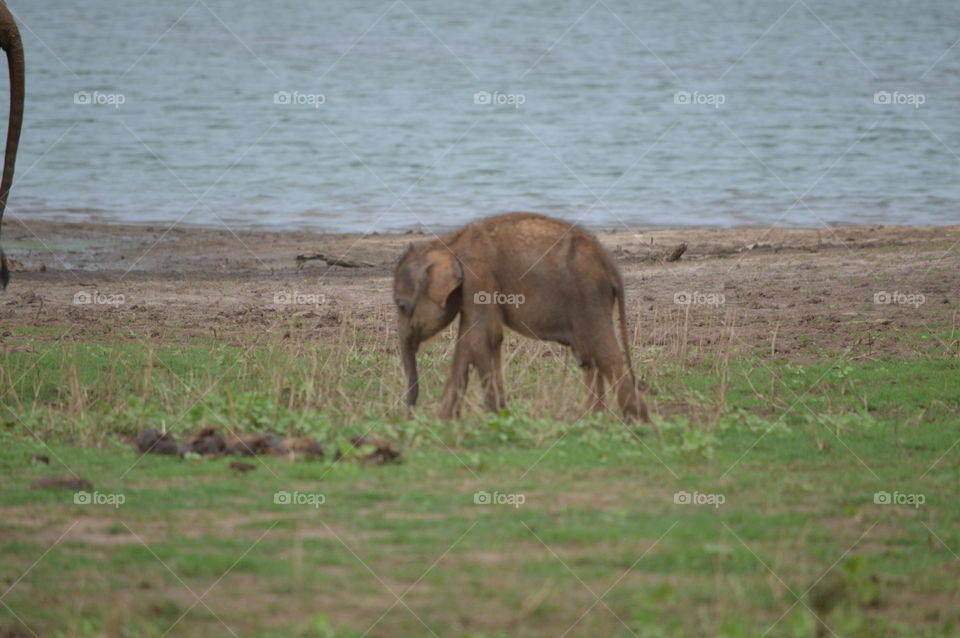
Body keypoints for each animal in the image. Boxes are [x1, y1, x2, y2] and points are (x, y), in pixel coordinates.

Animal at [393, 212, 650, 422]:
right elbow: (478, 341)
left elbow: (479, 338)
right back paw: (591, 421)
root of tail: (610, 266)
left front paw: (493, 416)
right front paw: (448, 421)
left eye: (402, 306)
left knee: (605, 355)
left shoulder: (479, 277)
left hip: (588, 296)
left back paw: (636, 424)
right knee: (589, 358)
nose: (409, 414)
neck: (449, 243)